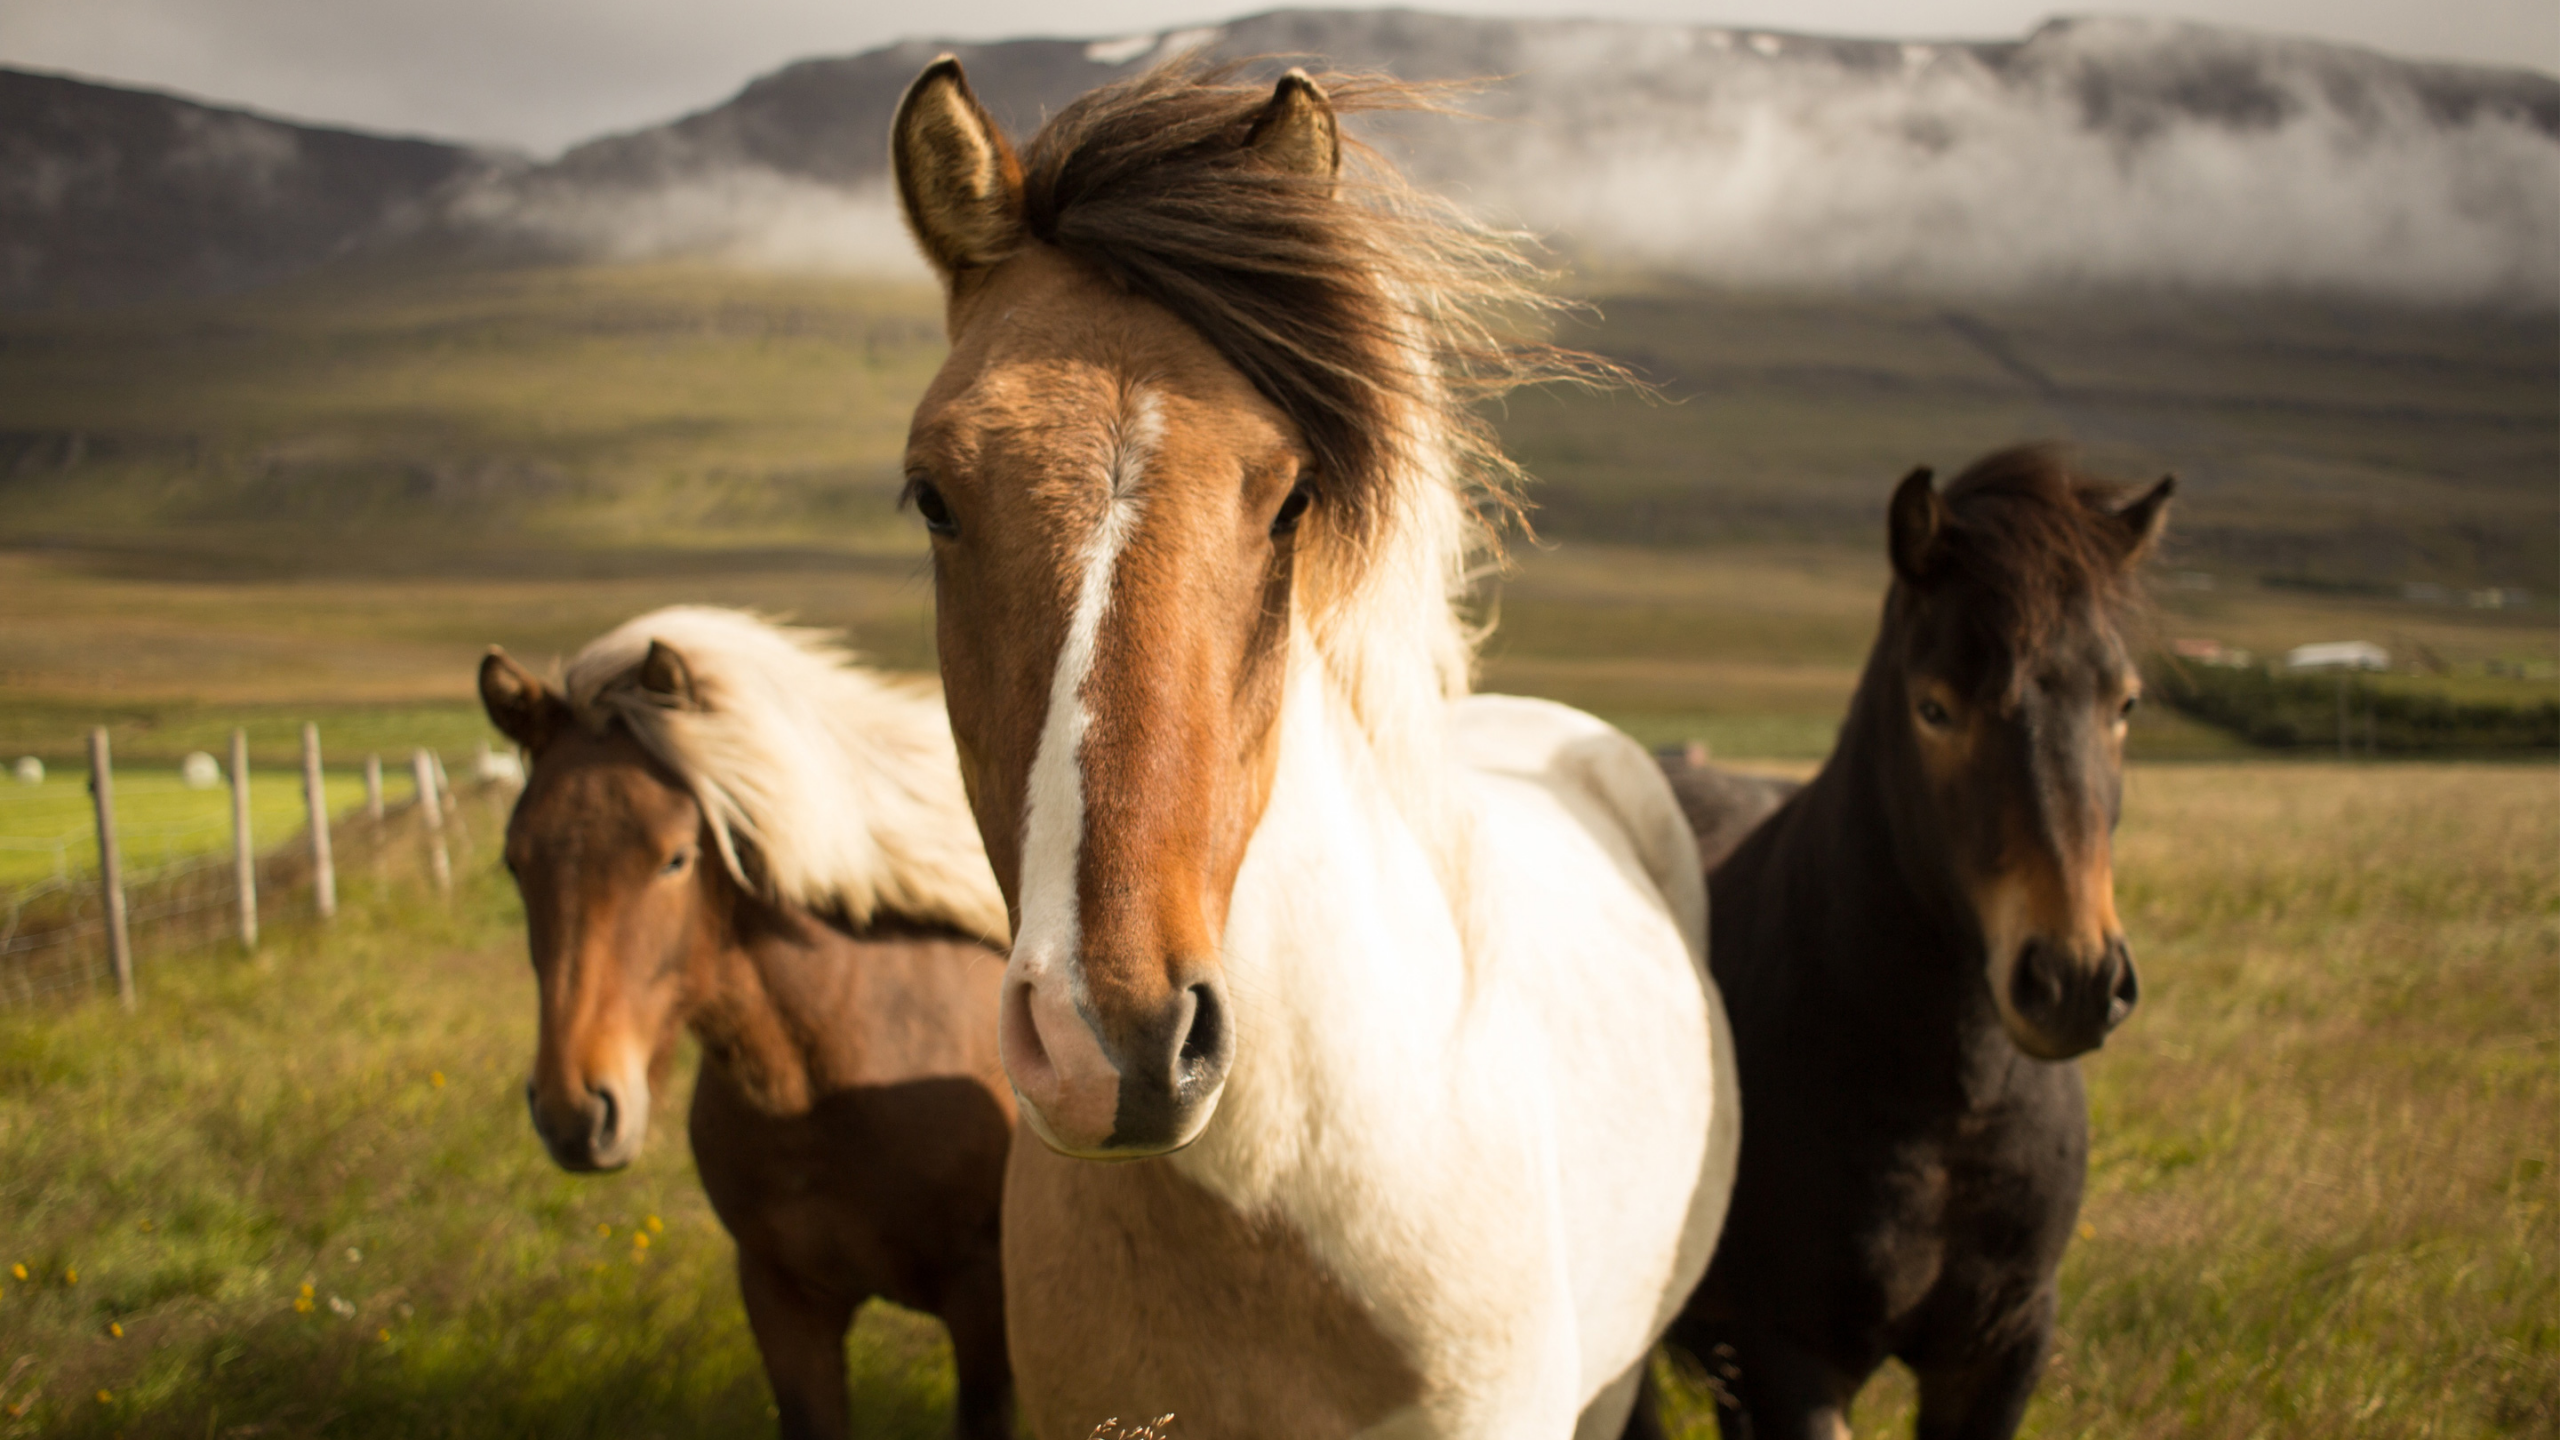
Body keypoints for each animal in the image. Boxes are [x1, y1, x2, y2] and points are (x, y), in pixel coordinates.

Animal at [1658, 448, 2181, 1434]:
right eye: (1935, 709)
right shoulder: (1786, 1354)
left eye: (2125, 702)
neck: (1950, 1106)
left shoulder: (2001, 1347)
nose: (2076, 980)